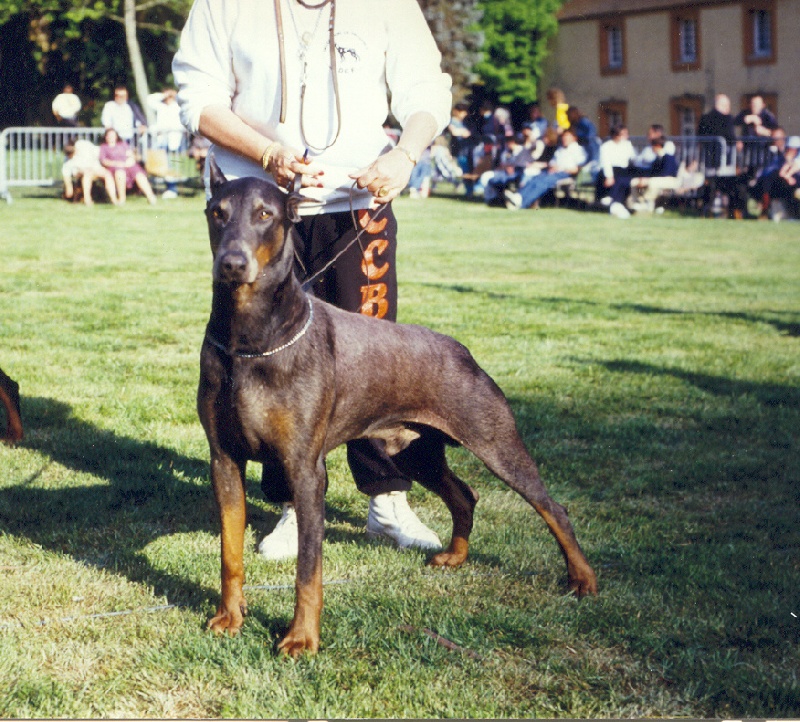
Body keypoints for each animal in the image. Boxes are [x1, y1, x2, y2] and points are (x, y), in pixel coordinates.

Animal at [200, 159, 596, 660]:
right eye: (217, 212)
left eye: (265, 214)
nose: (232, 263)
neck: (248, 339)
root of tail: (461, 350)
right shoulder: (224, 461)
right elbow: (229, 552)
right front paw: (230, 617)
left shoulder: (306, 470)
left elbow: (308, 568)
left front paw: (302, 638)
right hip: (415, 450)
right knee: (464, 494)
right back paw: (455, 556)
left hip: (495, 441)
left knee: (551, 507)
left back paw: (582, 579)